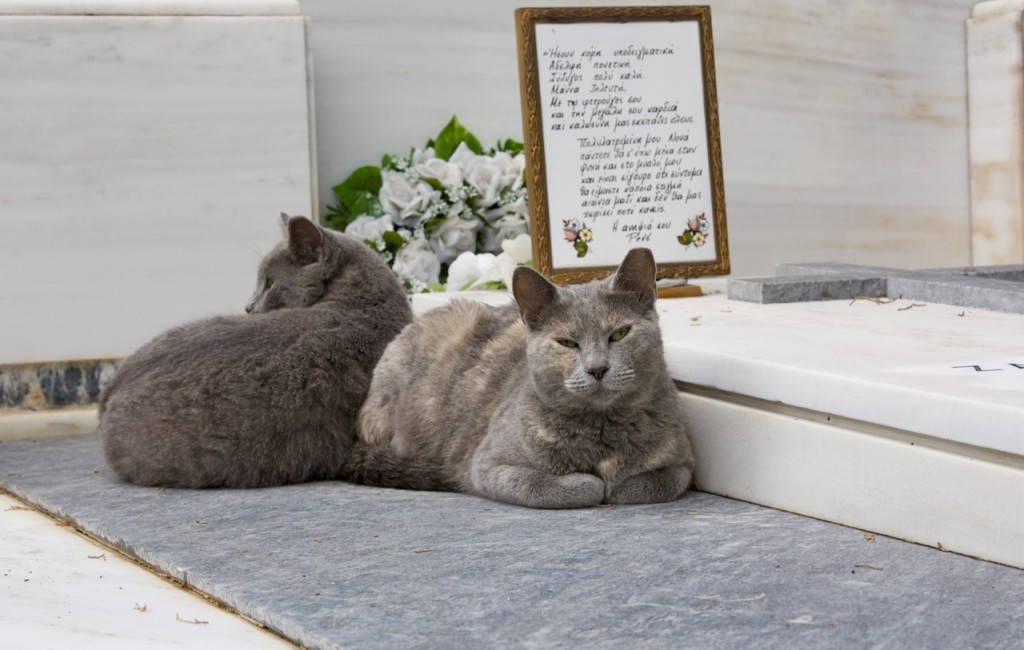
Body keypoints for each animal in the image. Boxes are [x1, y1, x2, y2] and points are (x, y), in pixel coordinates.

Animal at [344, 247, 696, 507]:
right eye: (567, 342)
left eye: (620, 333)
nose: (597, 368)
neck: (601, 430)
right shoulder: (487, 465)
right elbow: (557, 486)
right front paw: (592, 482)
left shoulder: (683, 462)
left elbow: (652, 484)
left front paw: (617, 483)